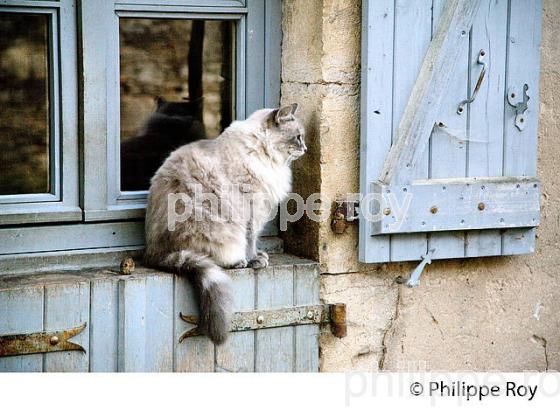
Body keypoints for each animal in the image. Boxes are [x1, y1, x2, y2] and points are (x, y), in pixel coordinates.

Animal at [142, 102, 304, 342]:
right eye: (298, 137)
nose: (306, 149)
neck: (264, 154)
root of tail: (153, 253)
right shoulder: (251, 211)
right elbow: (250, 241)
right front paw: (255, 260)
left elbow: (254, 241)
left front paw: (260, 256)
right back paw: (239, 262)